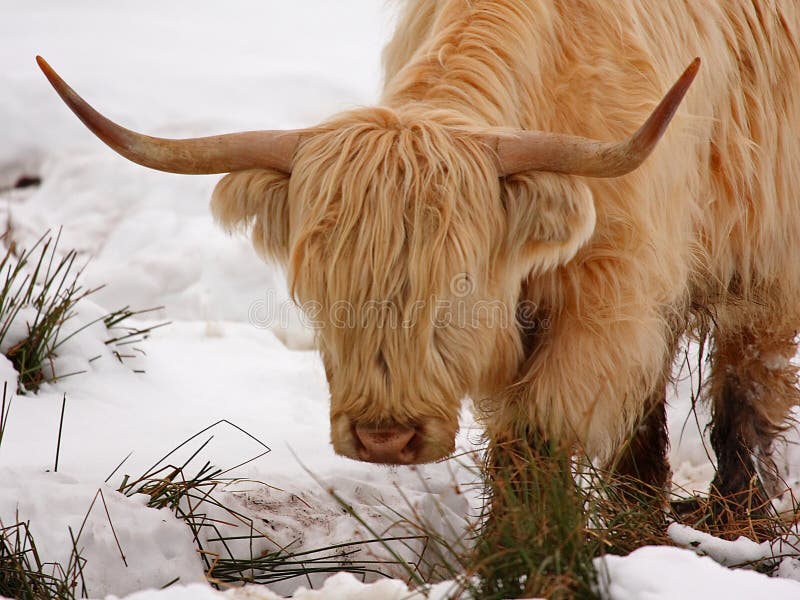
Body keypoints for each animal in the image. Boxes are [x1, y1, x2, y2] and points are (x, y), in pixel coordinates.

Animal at [36, 0, 800, 516]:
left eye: (457, 283)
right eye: (317, 290)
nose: (385, 440)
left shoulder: (609, 299)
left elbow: (536, 439)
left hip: (765, 271)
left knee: (746, 394)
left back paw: (739, 519)